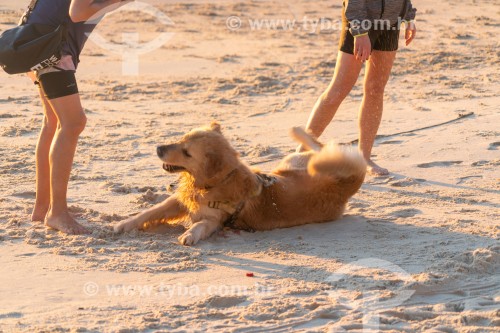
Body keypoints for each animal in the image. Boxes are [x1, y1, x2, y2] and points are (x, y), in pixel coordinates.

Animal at [116, 122, 368, 244]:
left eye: (187, 153)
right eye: (181, 139)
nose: (158, 148)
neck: (209, 185)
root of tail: (345, 185)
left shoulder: (214, 220)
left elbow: (200, 226)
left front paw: (189, 235)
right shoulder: (179, 201)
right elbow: (150, 211)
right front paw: (124, 224)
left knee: (326, 148)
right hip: (296, 162)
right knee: (321, 146)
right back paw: (300, 132)